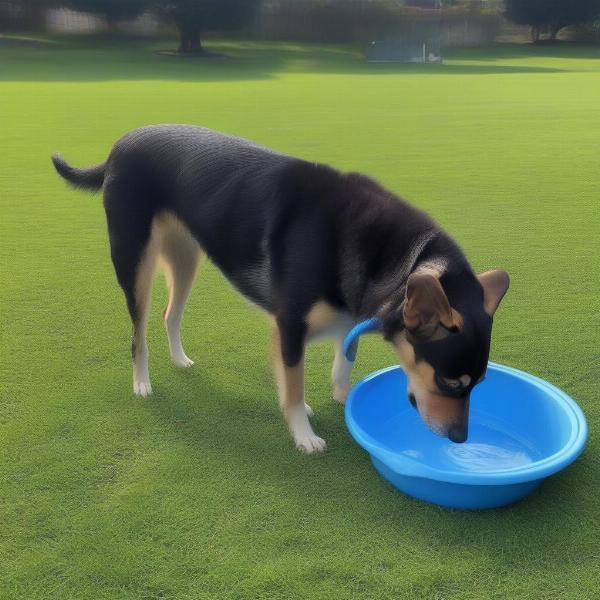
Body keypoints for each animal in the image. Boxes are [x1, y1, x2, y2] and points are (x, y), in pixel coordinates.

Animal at [52, 124, 510, 452]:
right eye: (452, 383)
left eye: (480, 384)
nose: (461, 440)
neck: (394, 254)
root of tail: (119, 146)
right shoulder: (289, 327)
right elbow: (292, 385)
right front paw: (303, 434)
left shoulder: (349, 317)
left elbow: (342, 364)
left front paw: (343, 399)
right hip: (135, 264)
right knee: (138, 333)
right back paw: (142, 384)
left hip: (186, 258)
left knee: (170, 315)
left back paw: (180, 359)